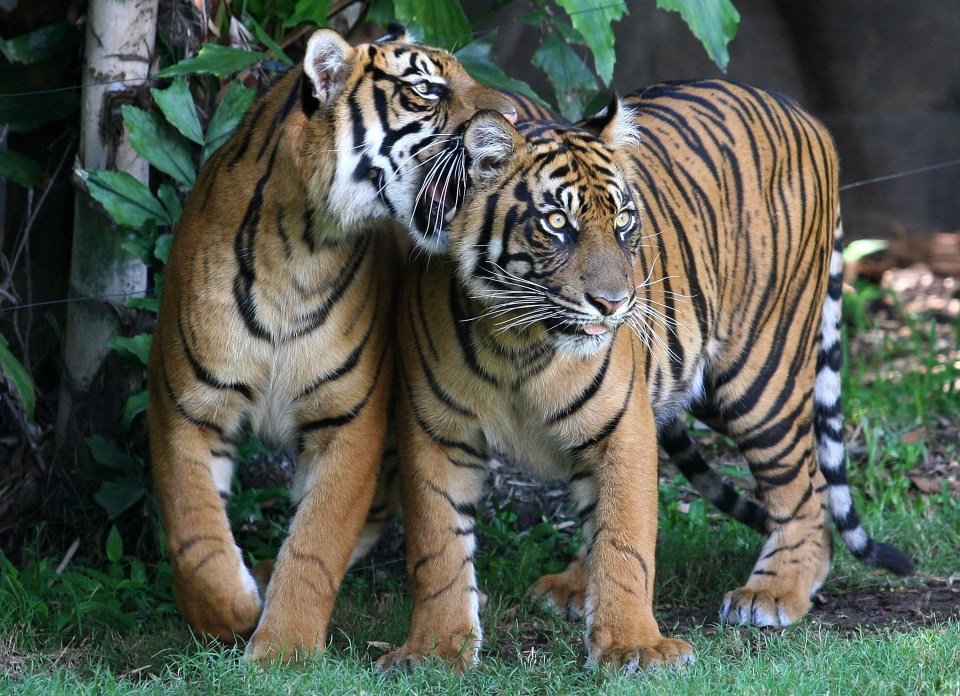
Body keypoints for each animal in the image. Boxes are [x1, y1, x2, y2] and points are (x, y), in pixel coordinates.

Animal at [146, 23, 516, 664]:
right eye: (426, 88)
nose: (515, 115)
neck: (301, 245)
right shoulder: (184, 406)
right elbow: (195, 534)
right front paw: (235, 610)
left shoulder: (351, 420)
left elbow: (317, 543)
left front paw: (284, 651)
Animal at [376, 77, 916, 676]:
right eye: (557, 224)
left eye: (623, 222)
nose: (614, 303)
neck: (517, 346)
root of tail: (805, 115)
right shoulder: (434, 435)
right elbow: (438, 549)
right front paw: (434, 650)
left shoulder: (622, 429)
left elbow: (626, 540)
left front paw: (634, 646)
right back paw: (575, 585)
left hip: (759, 377)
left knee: (804, 485)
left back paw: (774, 592)